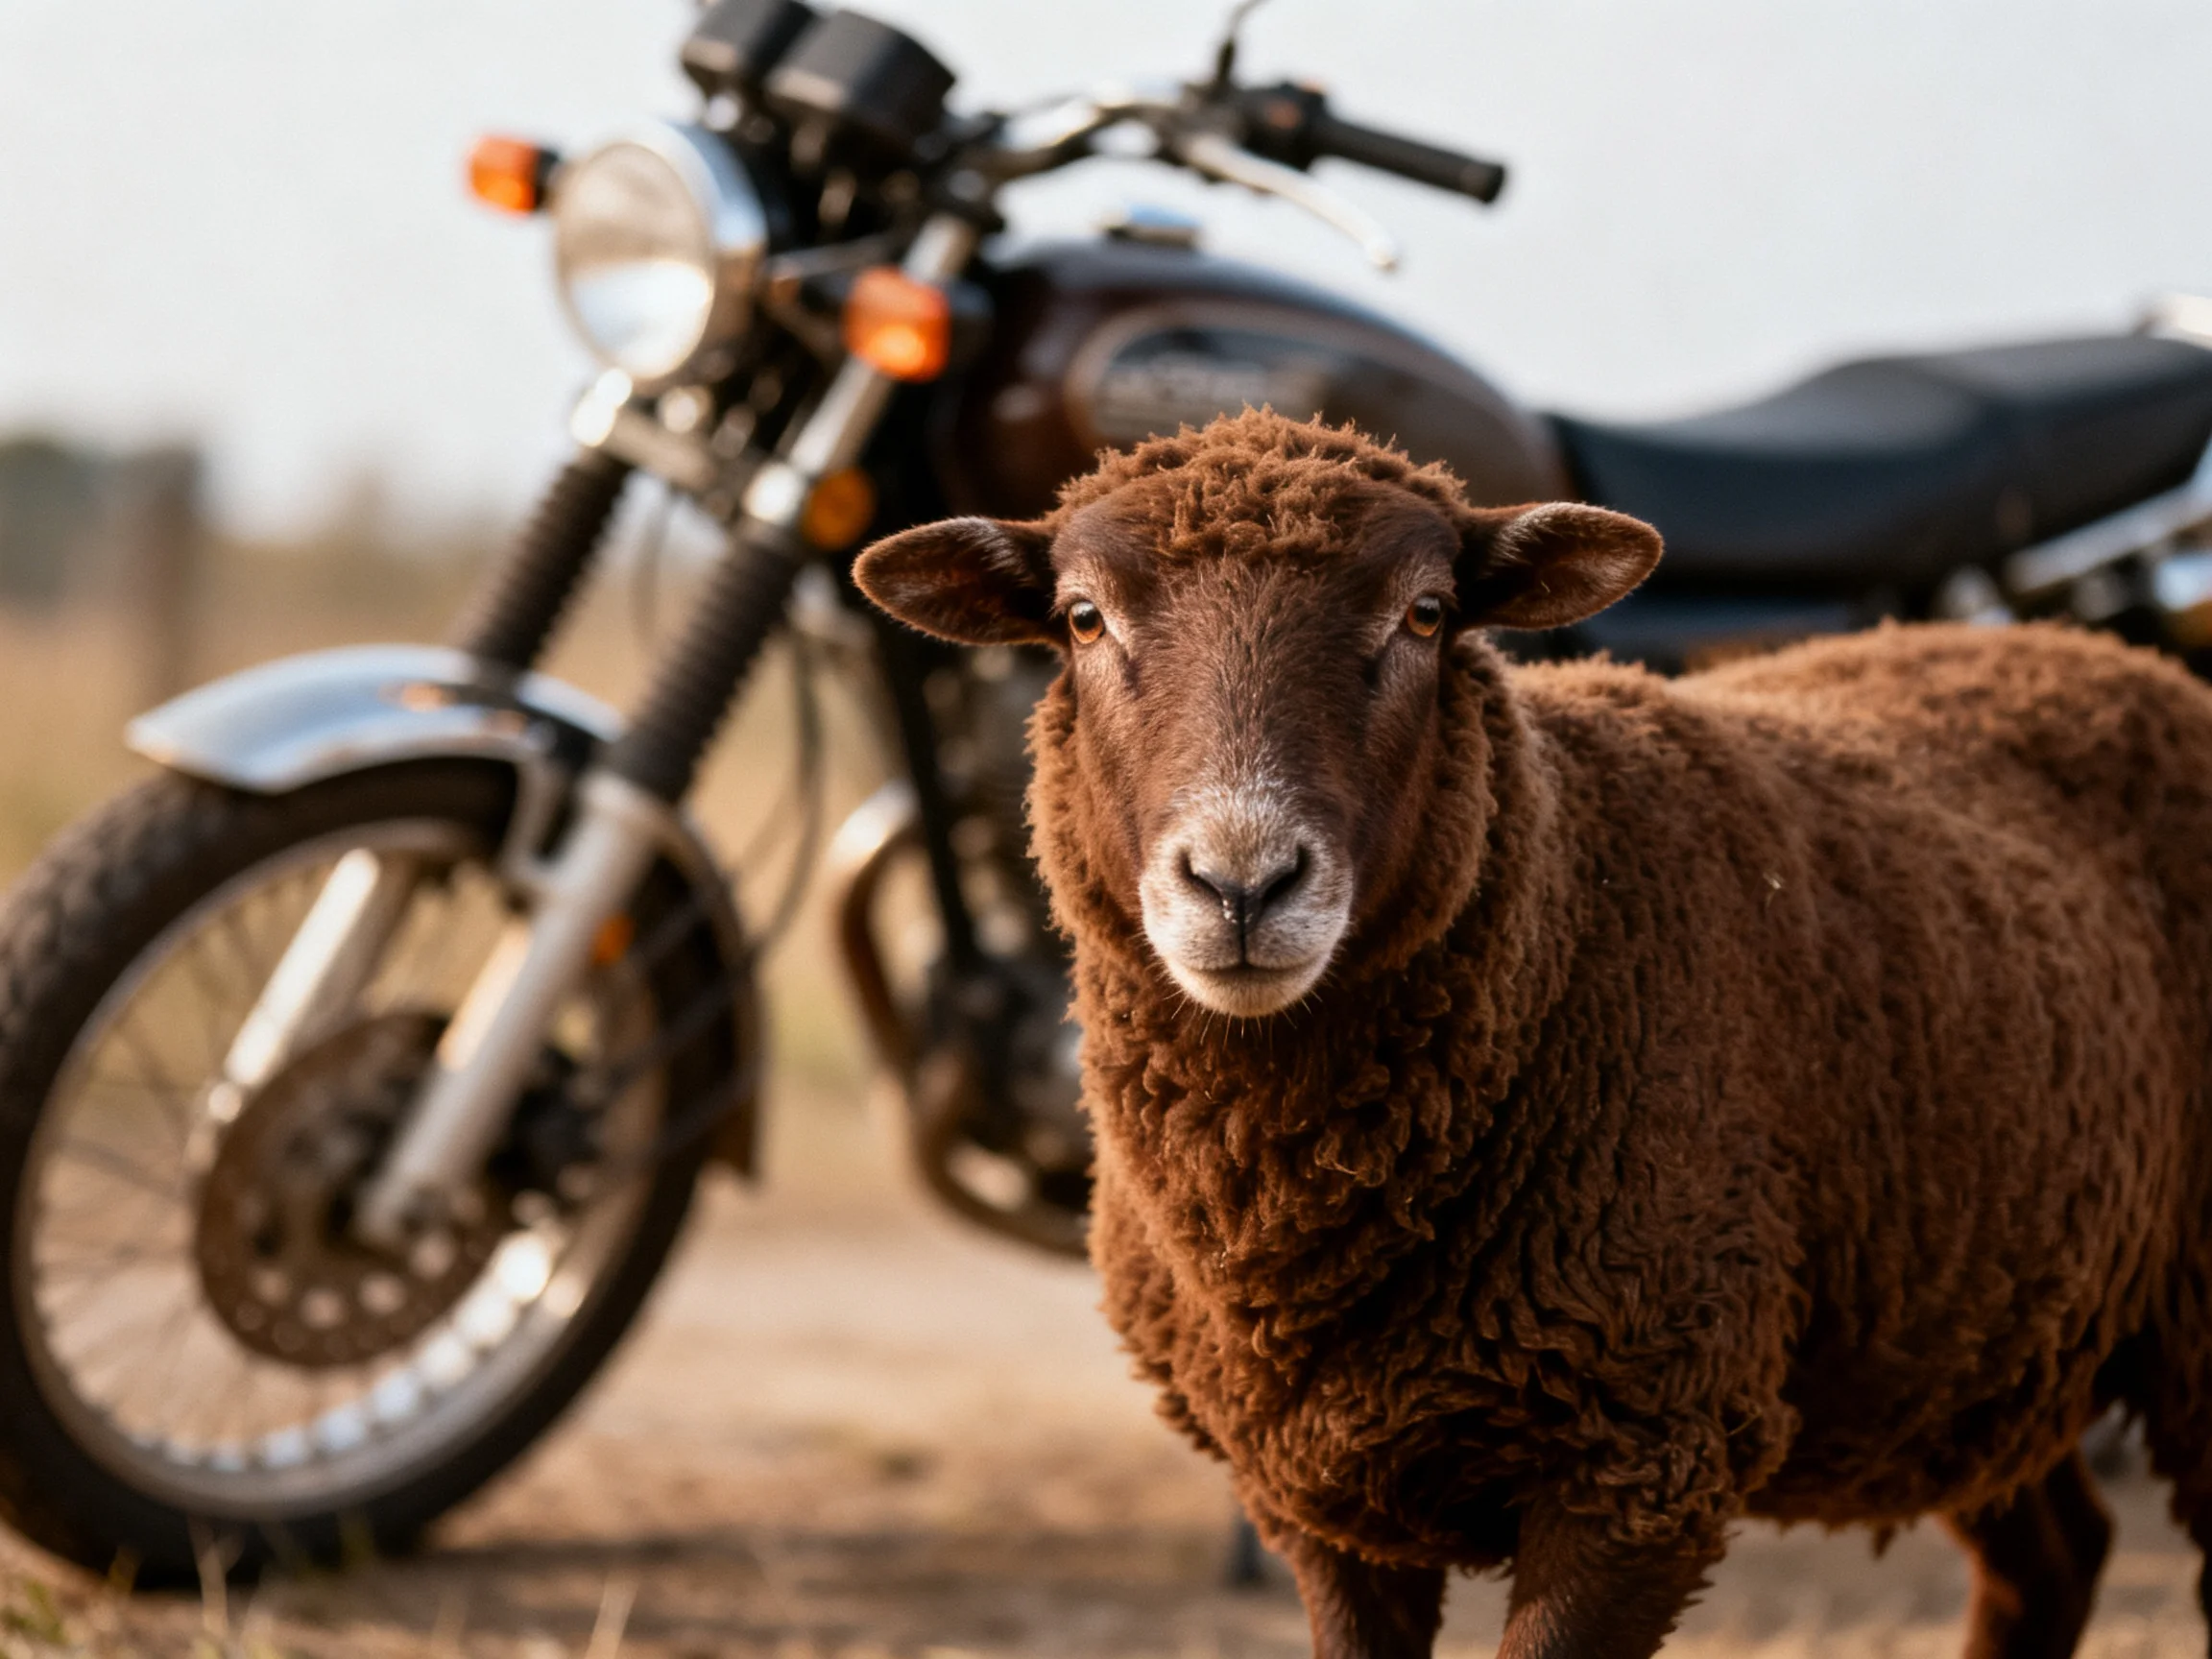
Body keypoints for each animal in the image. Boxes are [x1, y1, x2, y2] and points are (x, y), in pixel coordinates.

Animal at [852, 407, 2212, 1659]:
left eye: (1426, 614)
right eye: (1083, 619)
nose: (1243, 884)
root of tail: (2094, 651)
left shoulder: (1638, 1464)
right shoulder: (1321, 1504)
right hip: (1976, 1338)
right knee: (2054, 1554)